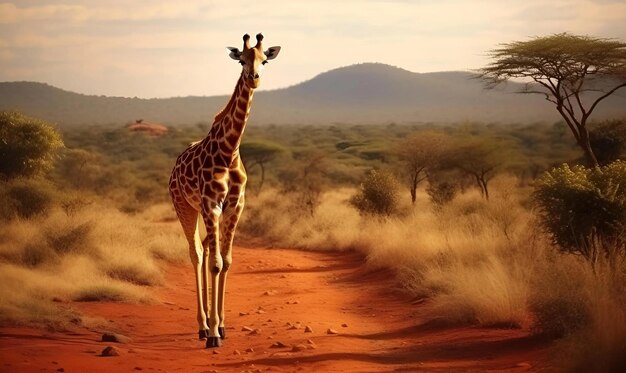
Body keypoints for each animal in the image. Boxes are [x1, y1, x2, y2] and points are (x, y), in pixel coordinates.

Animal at [168, 33, 280, 348]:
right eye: (242, 60)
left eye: (265, 60)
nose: (254, 78)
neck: (230, 150)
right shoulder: (211, 204)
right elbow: (216, 264)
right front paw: (214, 334)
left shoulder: (235, 206)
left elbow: (226, 261)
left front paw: (224, 326)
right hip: (184, 205)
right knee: (196, 253)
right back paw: (202, 326)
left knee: (206, 249)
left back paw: (209, 322)